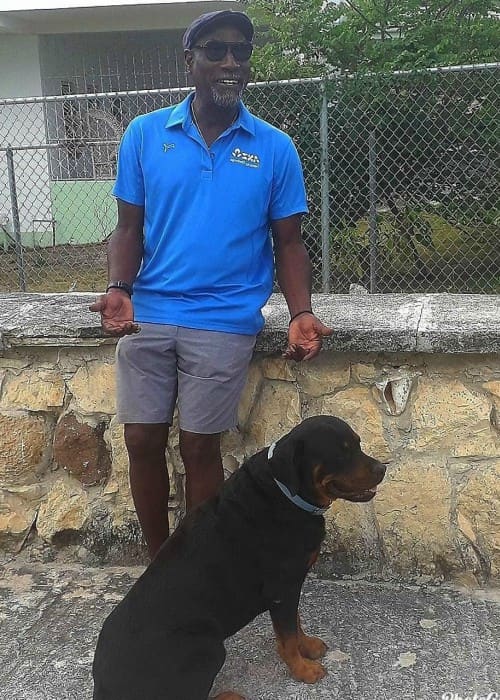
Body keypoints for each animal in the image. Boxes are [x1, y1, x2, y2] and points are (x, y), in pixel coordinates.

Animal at [92, 416, 384, 700]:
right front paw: (303, 670)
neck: (284, 492)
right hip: (207, 648)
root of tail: (103, 687)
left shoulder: (290, 587)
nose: (382, 468)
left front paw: (308, 645)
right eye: (341, 453)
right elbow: (287, 636)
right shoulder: (282, 588)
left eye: (358, 444)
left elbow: (295, 623)